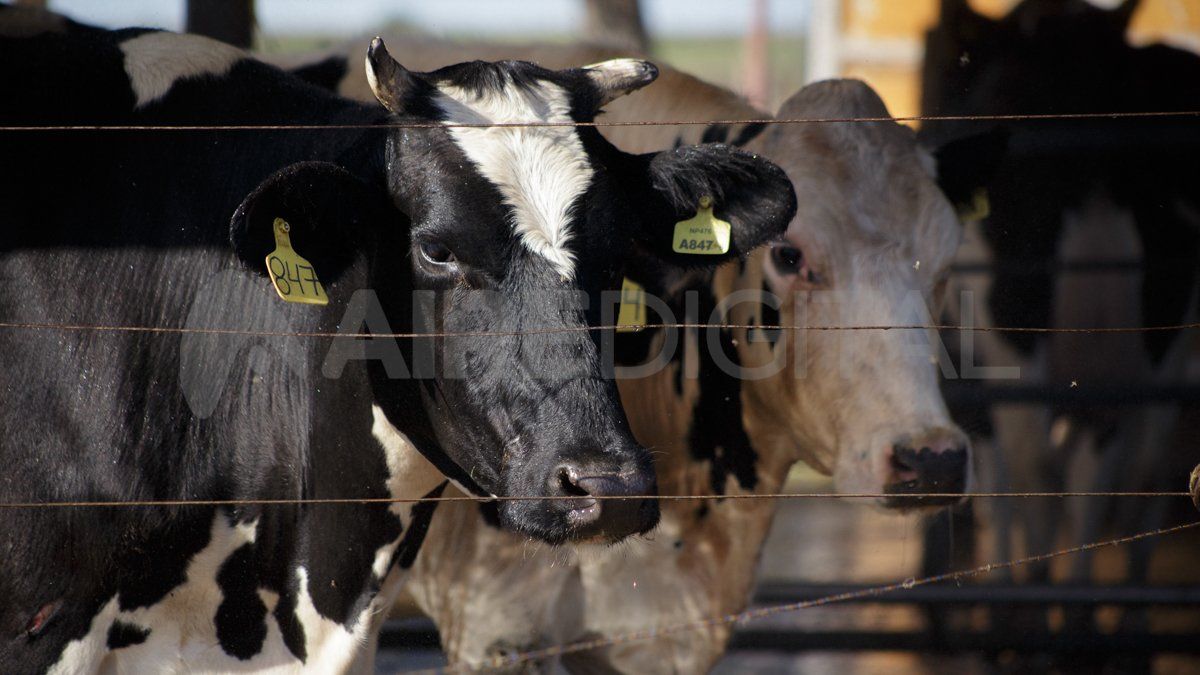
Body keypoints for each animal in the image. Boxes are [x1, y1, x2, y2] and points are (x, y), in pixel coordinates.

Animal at [921, 0, 1200, 636]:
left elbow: (996, 480)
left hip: (1019, 348)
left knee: (1042, 478)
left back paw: (1025, 621)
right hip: (1135, 360)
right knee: (1116, 478)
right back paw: (1090, 622)